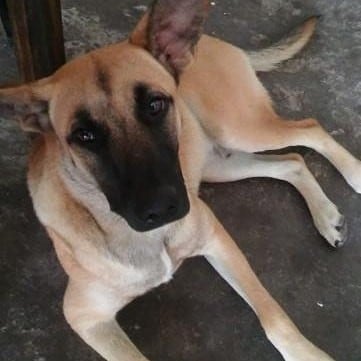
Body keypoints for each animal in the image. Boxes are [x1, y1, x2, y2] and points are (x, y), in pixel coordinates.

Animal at [0, 0, 358, 360]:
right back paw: (326, 216)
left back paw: (354, 174)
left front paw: (307, 354)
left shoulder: (215, 236)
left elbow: (273, 318)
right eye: (84, 136)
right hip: (217, 162)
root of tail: (211, 41)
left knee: (309, 129)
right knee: (292, 162)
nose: (161, 208)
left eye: (155, 104)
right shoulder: (85, 317)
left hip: (237, 129)